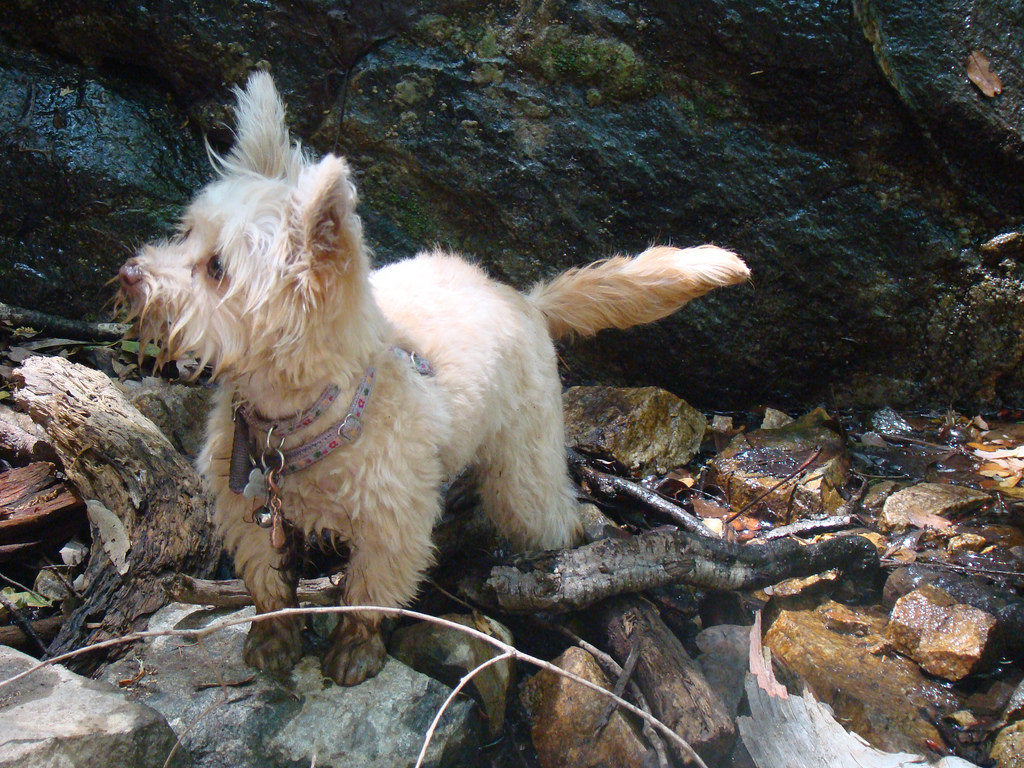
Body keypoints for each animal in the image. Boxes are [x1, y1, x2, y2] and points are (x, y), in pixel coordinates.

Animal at [117, 70, 753, 684]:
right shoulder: (246, 509)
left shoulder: (392, 523)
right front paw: (273, 639)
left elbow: (368, 593)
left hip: (524, 480)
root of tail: (526, 301)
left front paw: (355, 650)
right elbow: (268, 586)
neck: (300, 418)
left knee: (553, 514)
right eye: (186, 233)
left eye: (216, 268)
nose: (129, 272)